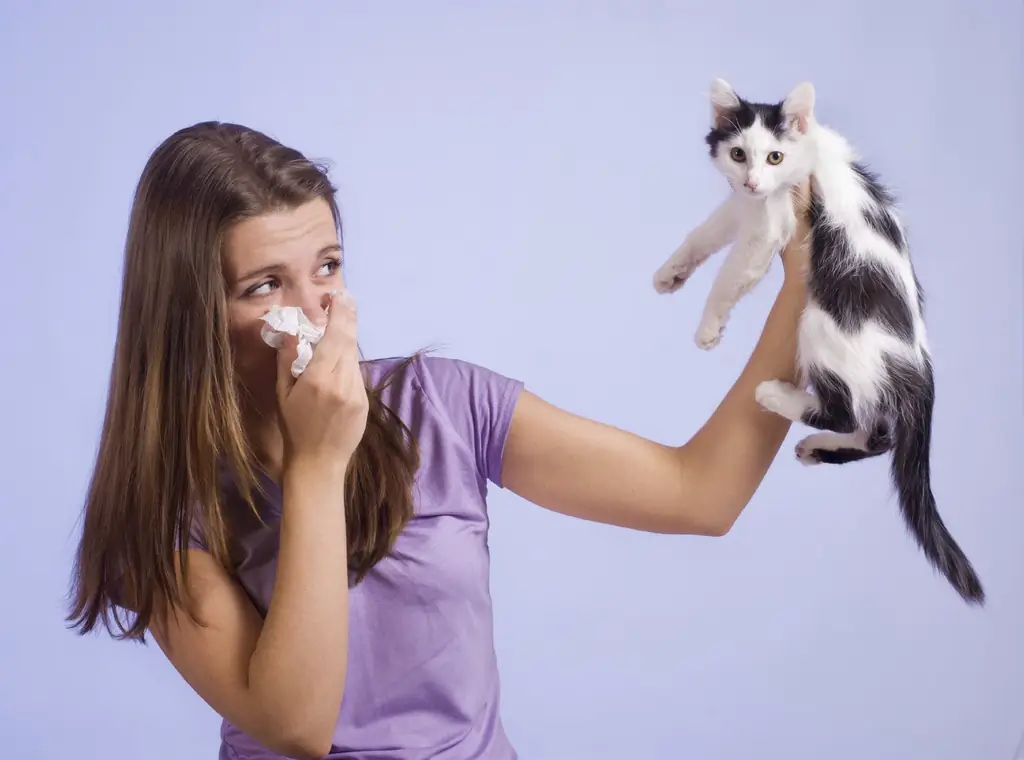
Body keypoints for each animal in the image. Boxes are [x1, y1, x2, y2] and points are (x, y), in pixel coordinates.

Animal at [655, 77, 815, 350]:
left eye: (775, 157)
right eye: (737, 154)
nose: (751, 183)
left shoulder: (765, 230)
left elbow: (727, 279)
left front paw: (708, 327)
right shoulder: (745, 203)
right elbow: (704, 234)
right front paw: (672, 270)